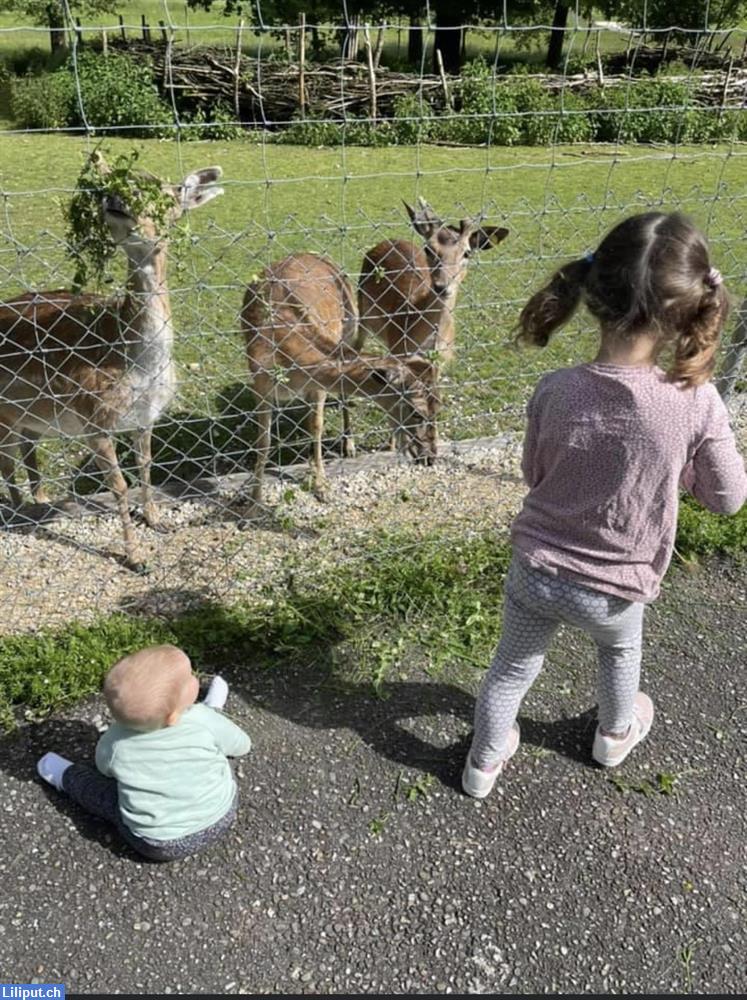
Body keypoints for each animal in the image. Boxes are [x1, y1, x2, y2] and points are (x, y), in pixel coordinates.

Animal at [0, 162, 224, 572]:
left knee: (27, 453)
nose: (114, 196)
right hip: (5, 415)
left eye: (167, 193)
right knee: (7, 464)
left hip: (29, 417)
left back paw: (40, 503)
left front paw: (156, 521)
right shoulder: (94, 419)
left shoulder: (147, 416)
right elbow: (119, 485)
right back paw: (21, 514)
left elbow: (146, 464)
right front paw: (135, 558)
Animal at [240, 247, 442, 504]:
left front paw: (321, 487)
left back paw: (350, 446)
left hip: (350, 324)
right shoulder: (260, 383)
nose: (430, 458)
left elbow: (316, 426)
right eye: (416, 412)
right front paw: (255, 500)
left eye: (438, 407)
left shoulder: (317, 386)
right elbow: (263, 442)